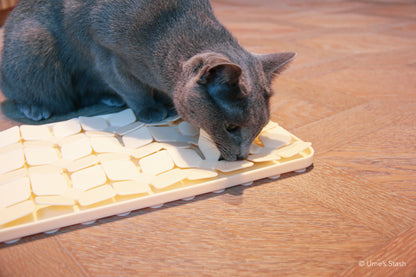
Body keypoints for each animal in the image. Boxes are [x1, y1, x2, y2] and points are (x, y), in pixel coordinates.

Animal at [0, 0, 294, 160]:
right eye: (231, 127)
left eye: (260, 126)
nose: (243, 156)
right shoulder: (106, 53)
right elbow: (132, 88)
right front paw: (151, 110)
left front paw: (166, 104)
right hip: (34, 45)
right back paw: (36, 108)